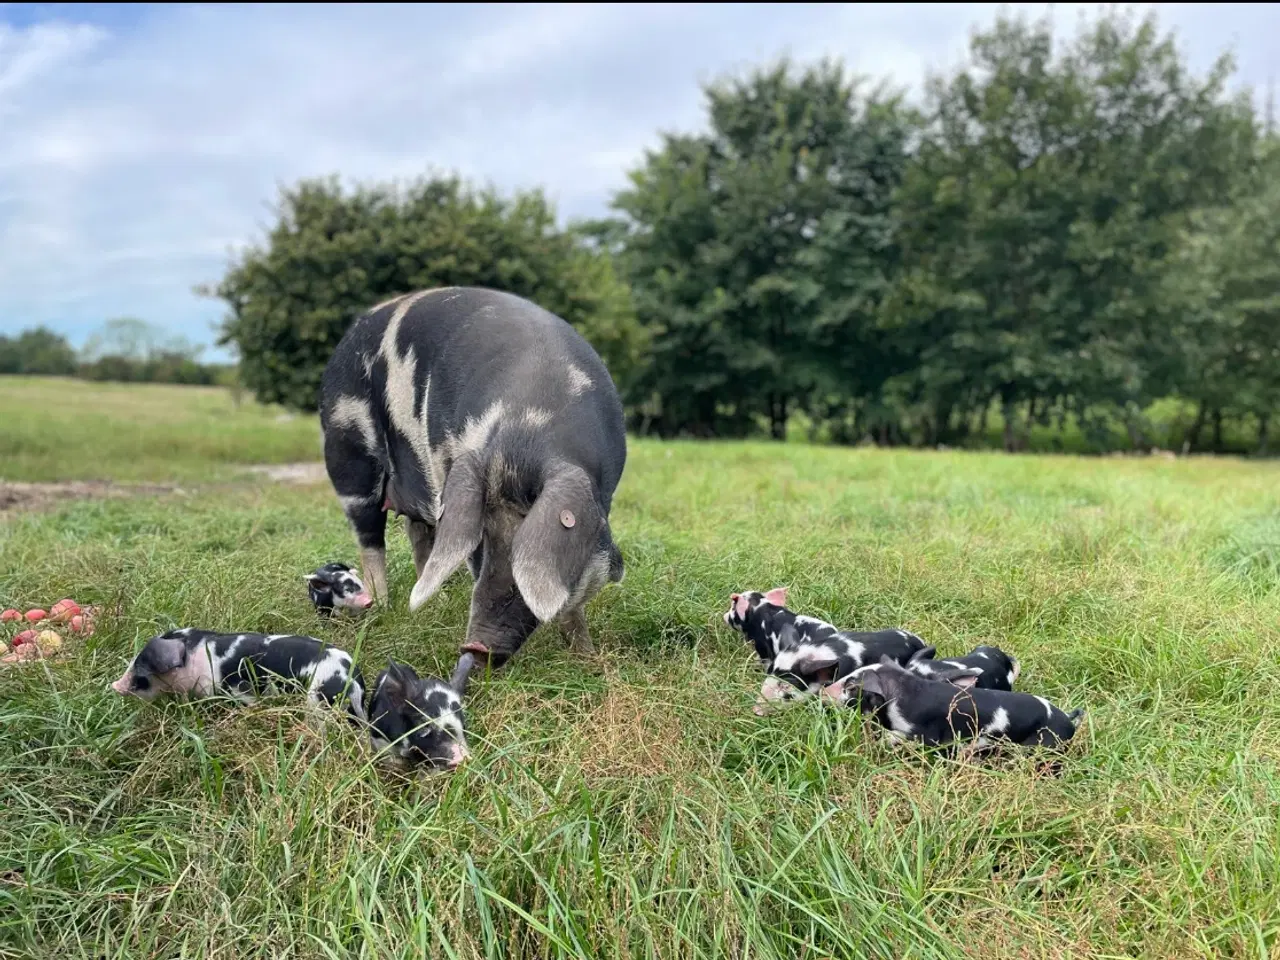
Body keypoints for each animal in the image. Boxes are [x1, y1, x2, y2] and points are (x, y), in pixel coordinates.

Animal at [317, 285, 622, 691]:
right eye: (479, 547)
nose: (476, 646)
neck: (526, 428)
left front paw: (587, 658)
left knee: (419, 533)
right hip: (347, 447)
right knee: (370, 539)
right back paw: (380, 606)